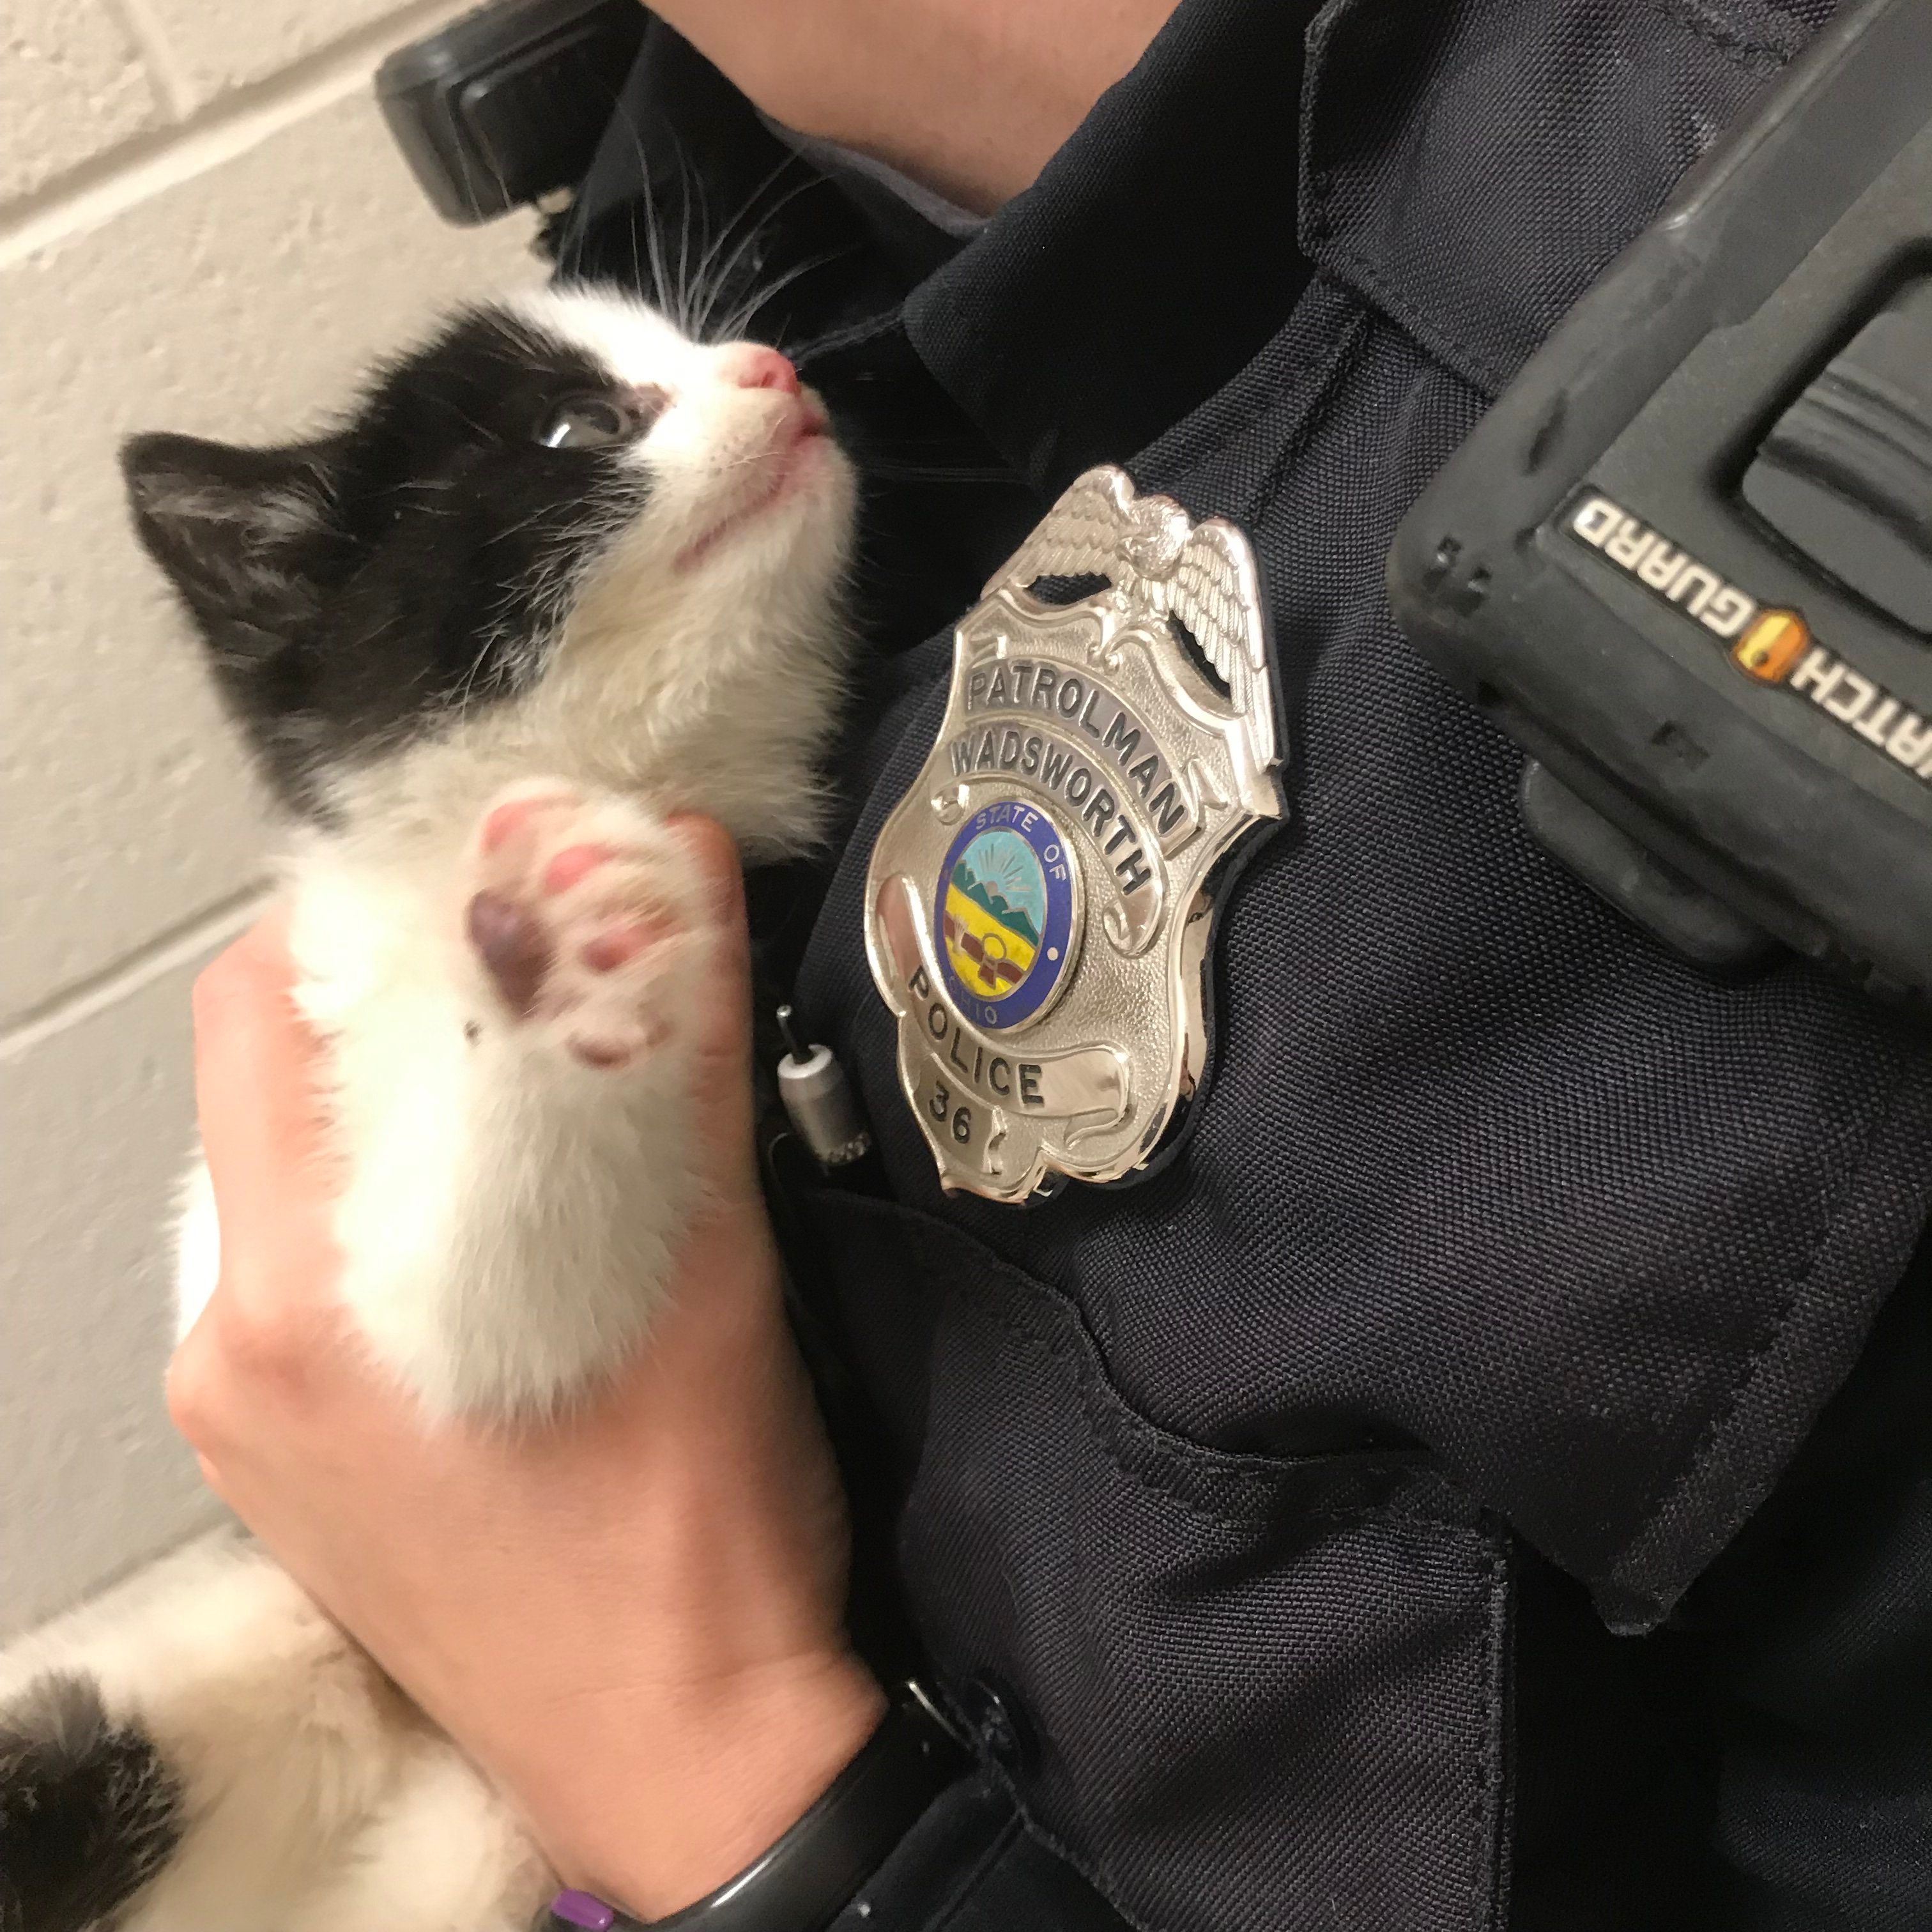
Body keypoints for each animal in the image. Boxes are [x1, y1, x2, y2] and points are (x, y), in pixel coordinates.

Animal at [0, 286, 861, 1932]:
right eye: (579, 427)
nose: (777, 367)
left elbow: (477, 1327)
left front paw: (552, 954)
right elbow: (443, 1323)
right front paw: (545, 953)